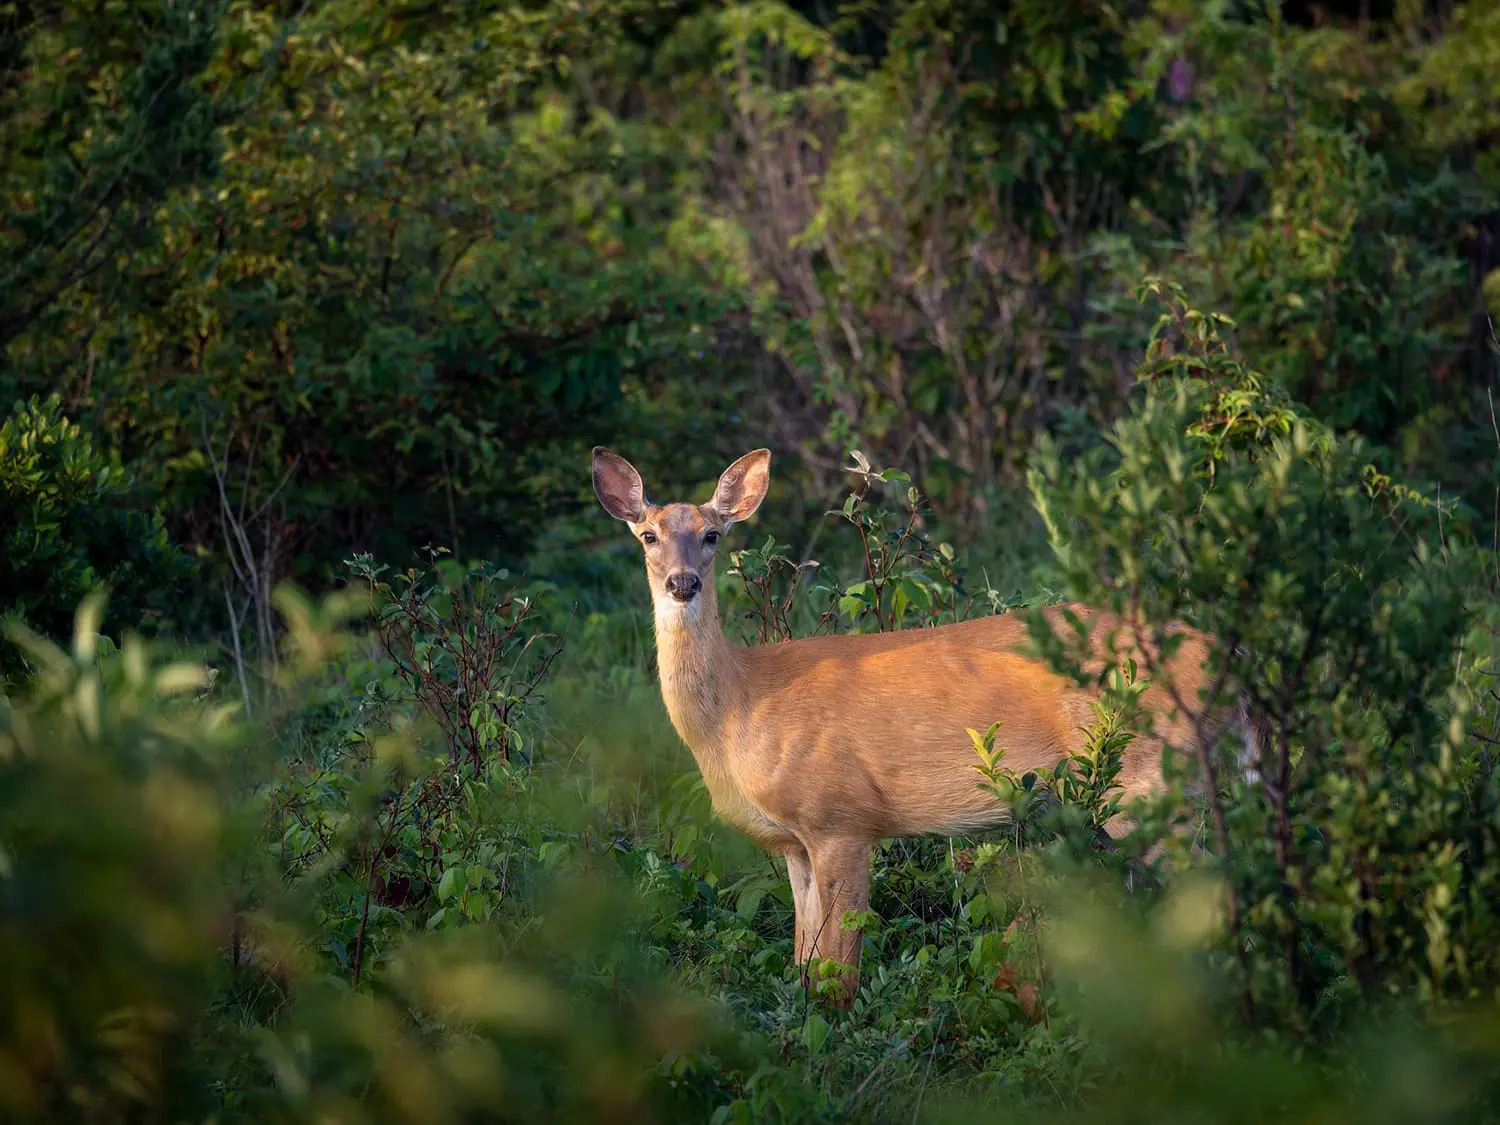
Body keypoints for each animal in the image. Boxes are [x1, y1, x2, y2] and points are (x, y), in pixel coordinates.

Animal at [592, 445, 1252, 1009]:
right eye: (648, 535)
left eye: (712, 534)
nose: (682, 583)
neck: (740, 708)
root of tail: (1221, 659)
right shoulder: (795, 841)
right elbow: (805, 958)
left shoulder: (841, 817)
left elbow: (840, 969)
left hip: (1146, 779)